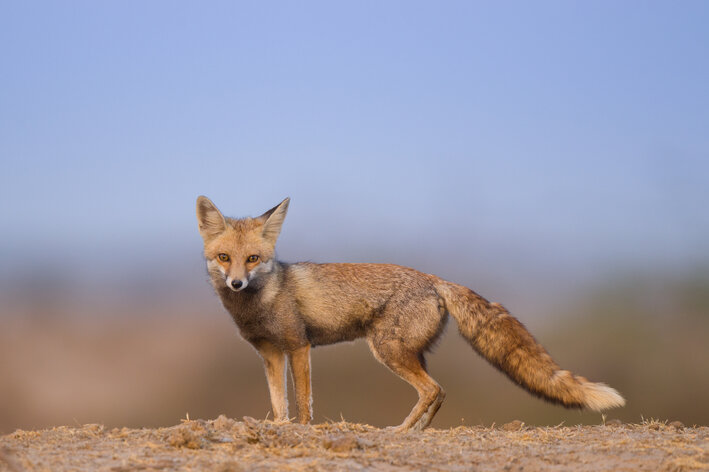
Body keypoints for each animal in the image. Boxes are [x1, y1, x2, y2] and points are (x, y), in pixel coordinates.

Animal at [195, 195, 624, 432]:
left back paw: (401, 431)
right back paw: (417, 430)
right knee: (440, 391)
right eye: (224, 258)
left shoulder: (299, 347)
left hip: (389, 351)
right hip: (409, 353)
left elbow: (302, 402)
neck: (261, 302)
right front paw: (280, 426)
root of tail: (435, 278)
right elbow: (277, 402)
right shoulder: (269, 353)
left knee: (431, 390)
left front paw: (301, 429)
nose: (237, 283)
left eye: (253, 259)